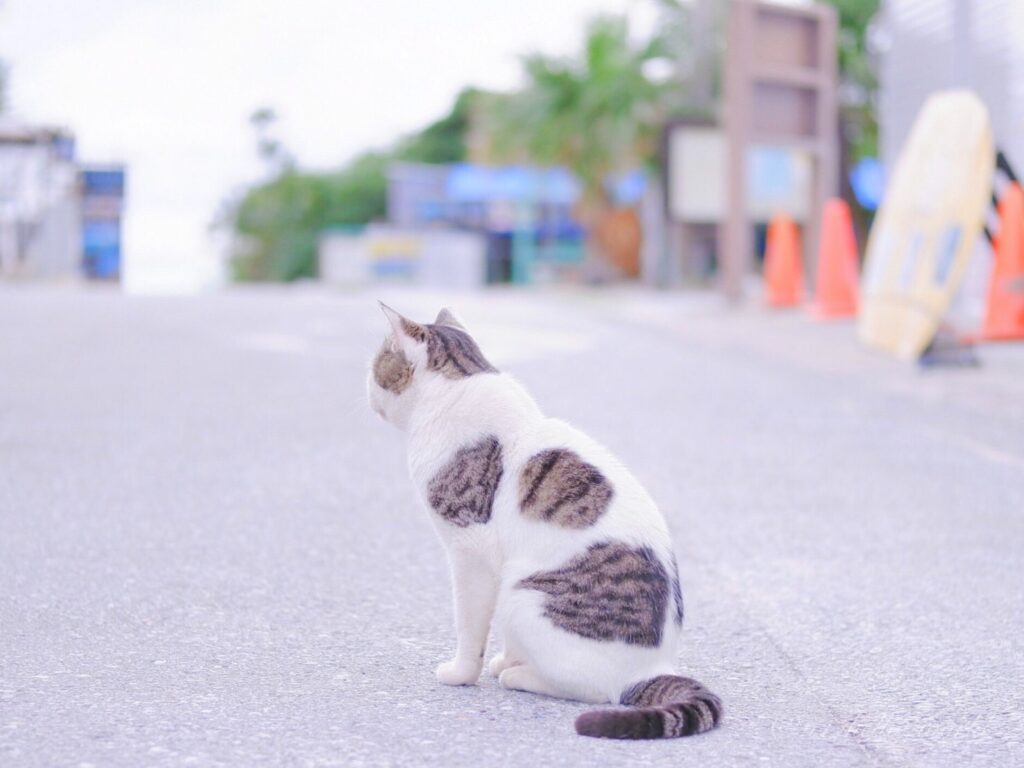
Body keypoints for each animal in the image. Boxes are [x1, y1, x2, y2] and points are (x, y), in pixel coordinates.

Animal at [366, 303, 720, 741]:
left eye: (377, 362)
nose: (366, 388)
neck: (456, 387)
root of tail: (653, 668)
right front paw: (504, 659)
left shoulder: (470, 554)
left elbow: (469, 625)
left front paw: (462, 673)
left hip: (522, 595)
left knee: (592, 690)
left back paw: (520, 677)